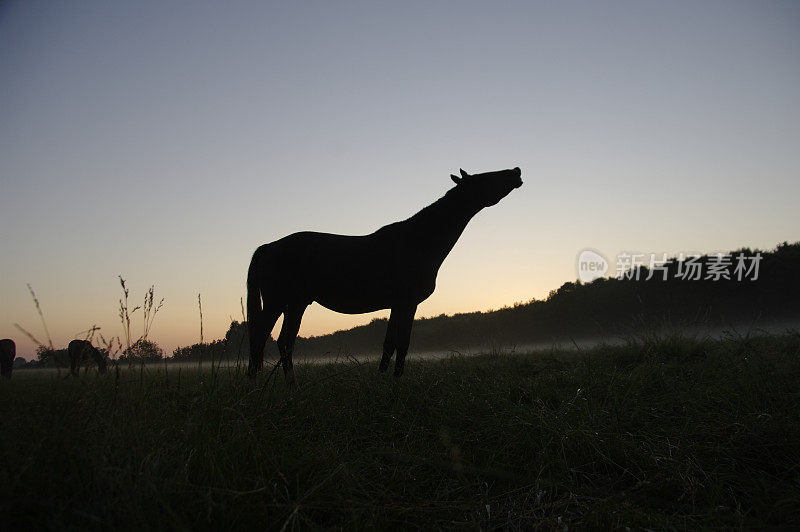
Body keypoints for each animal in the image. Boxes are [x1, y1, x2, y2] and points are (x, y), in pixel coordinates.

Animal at [250, 167, 524, 386]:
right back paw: (256, 385)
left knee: (284, 342)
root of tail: (269, 246)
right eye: (484, 177)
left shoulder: (396, 305)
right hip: (277, 302)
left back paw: (291, 385)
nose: (516, 171)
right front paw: (396, 383)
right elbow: (402, 343)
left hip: (296, 304)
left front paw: (381, 381)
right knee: (261, 337)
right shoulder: (408, 303)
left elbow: (389, 343)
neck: (419, 241)